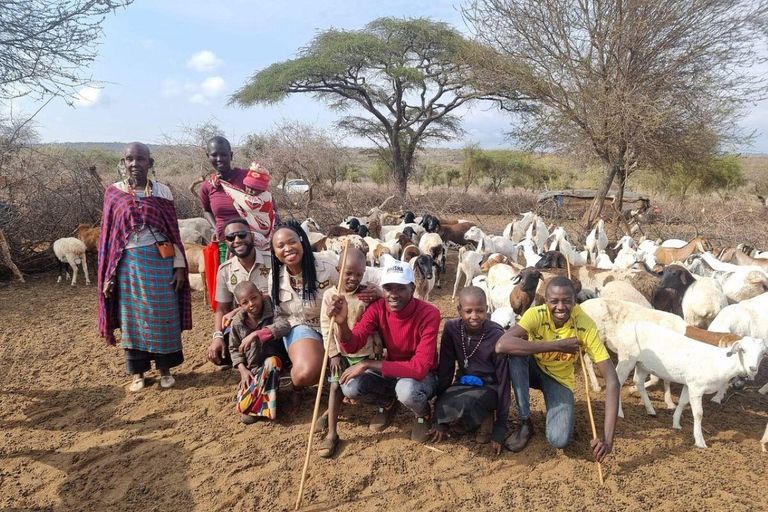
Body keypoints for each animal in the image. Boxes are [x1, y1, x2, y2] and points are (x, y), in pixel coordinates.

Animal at [616, 320, 768, 448]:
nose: (753, 369)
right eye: (743, 350)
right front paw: (700, 441)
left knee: (639, 382)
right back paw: (619, 413)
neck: (719, 362)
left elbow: (683, 402)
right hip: (626, 359)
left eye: (762, 354)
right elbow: (698, 413)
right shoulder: (697, 387)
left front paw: (676, 423)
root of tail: (629, 326)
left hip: (642, 364)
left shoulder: (689, 384)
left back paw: (650, 410)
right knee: (618, 381)